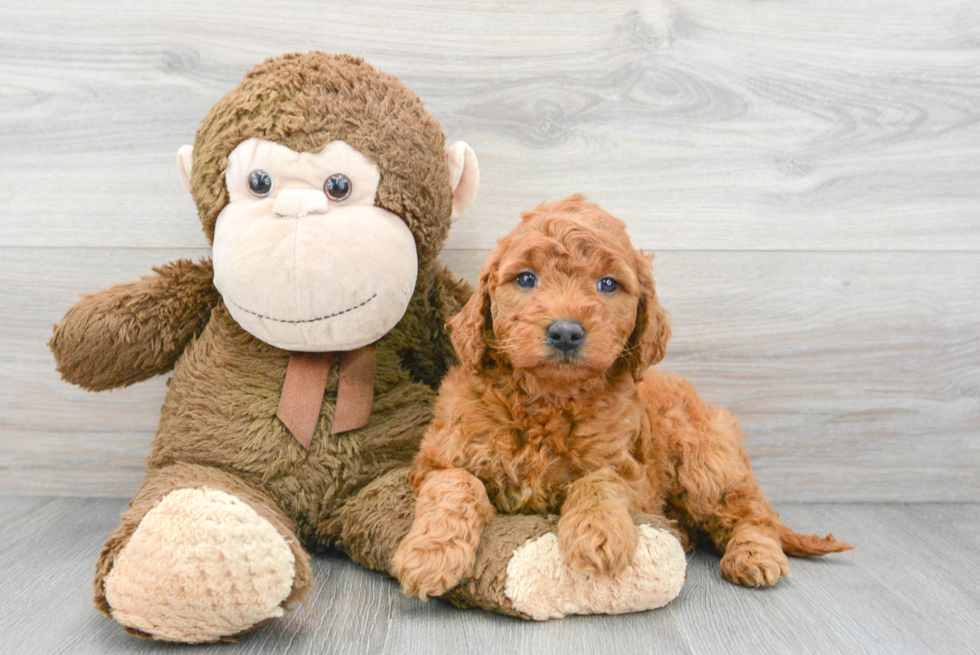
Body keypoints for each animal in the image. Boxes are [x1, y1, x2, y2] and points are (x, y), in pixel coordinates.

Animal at [390, 193, 848, 600]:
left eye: (607, 284)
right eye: (525, 279)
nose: (566, 332)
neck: (547, 402)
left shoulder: (631, 471)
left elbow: (599, 480)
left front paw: (599, 534)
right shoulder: (436, 459)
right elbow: (456, 483)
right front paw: (430, 554)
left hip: (705, 462)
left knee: (753, 513)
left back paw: (754, 555)